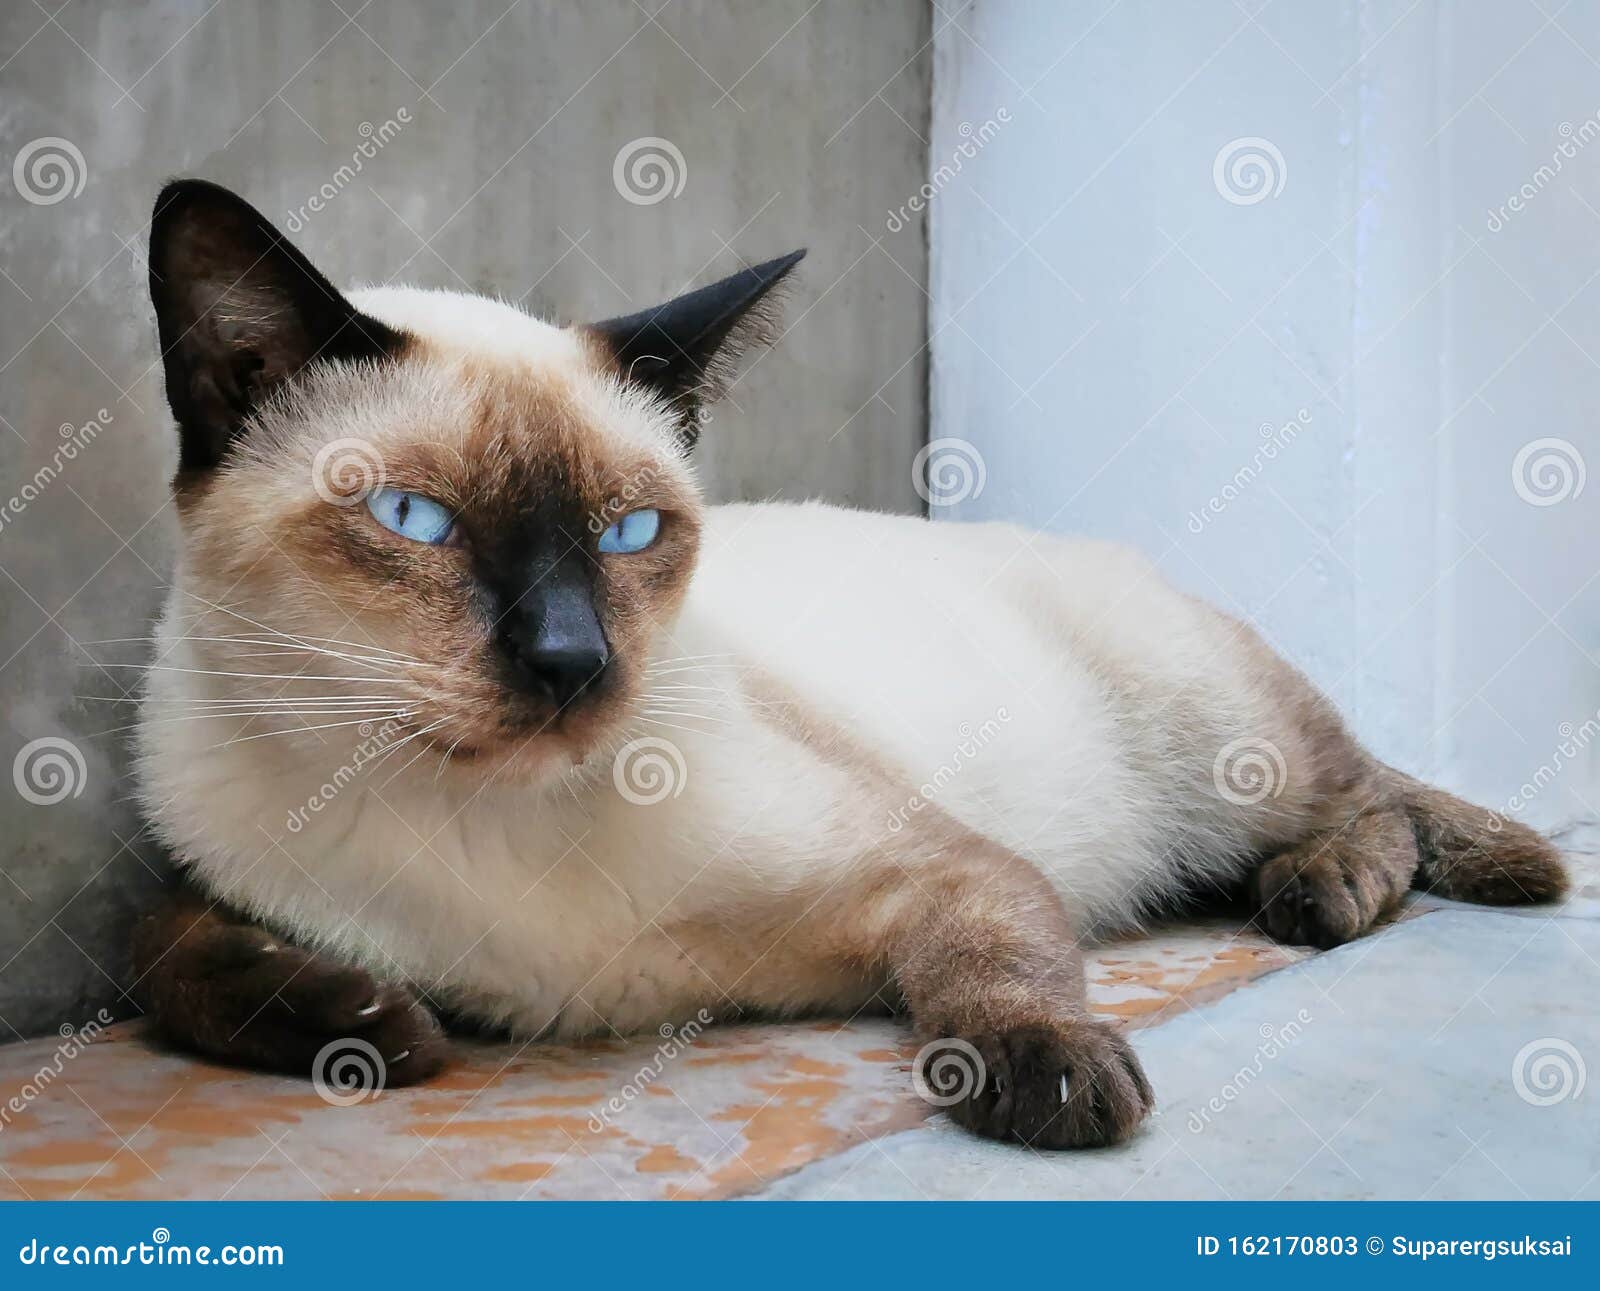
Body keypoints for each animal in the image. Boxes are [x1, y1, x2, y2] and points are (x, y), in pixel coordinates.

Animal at [124, 179, 1561, 1151]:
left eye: (629, 532)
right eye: (415, 520)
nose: (572, 660)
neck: (486, 829)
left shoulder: (943, 870)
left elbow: (994, 968)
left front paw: (1055, 1077)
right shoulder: (206, 878)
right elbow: (170, 956)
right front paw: (369, 1027)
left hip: (1215, 745)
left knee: (1370, 794)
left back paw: (1325, 889)